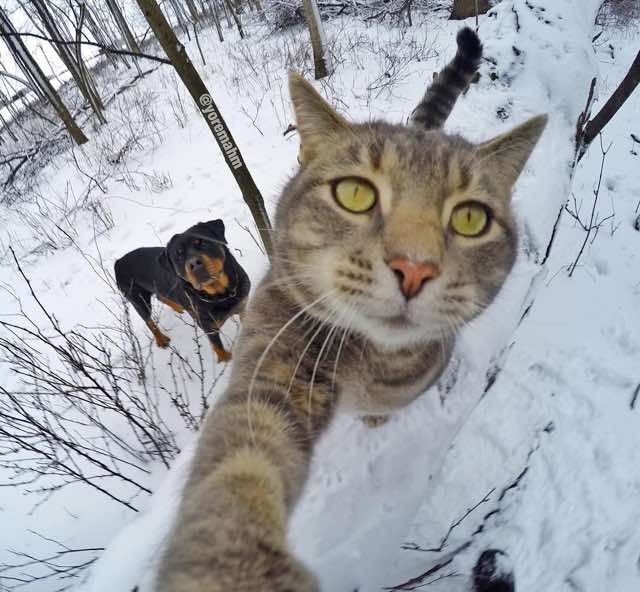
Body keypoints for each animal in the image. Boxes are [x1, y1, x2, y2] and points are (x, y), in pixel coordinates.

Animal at [114, 220, 249, 364]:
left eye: (202, 243)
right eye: (179, 256)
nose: (194, 263)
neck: (220, 295)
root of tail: (118, 262)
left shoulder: (243, 304)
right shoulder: (207, 326)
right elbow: (216, 344)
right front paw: (225, 359)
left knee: (161, 297)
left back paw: (177, 307)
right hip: (137, 299)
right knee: (148, 320)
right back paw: (161, 340)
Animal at [155, 28, 544, 592]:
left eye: (471, 218)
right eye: (355, 193)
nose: (414, 267)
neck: (370, 361)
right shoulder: (277, 357)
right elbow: (243, 457)